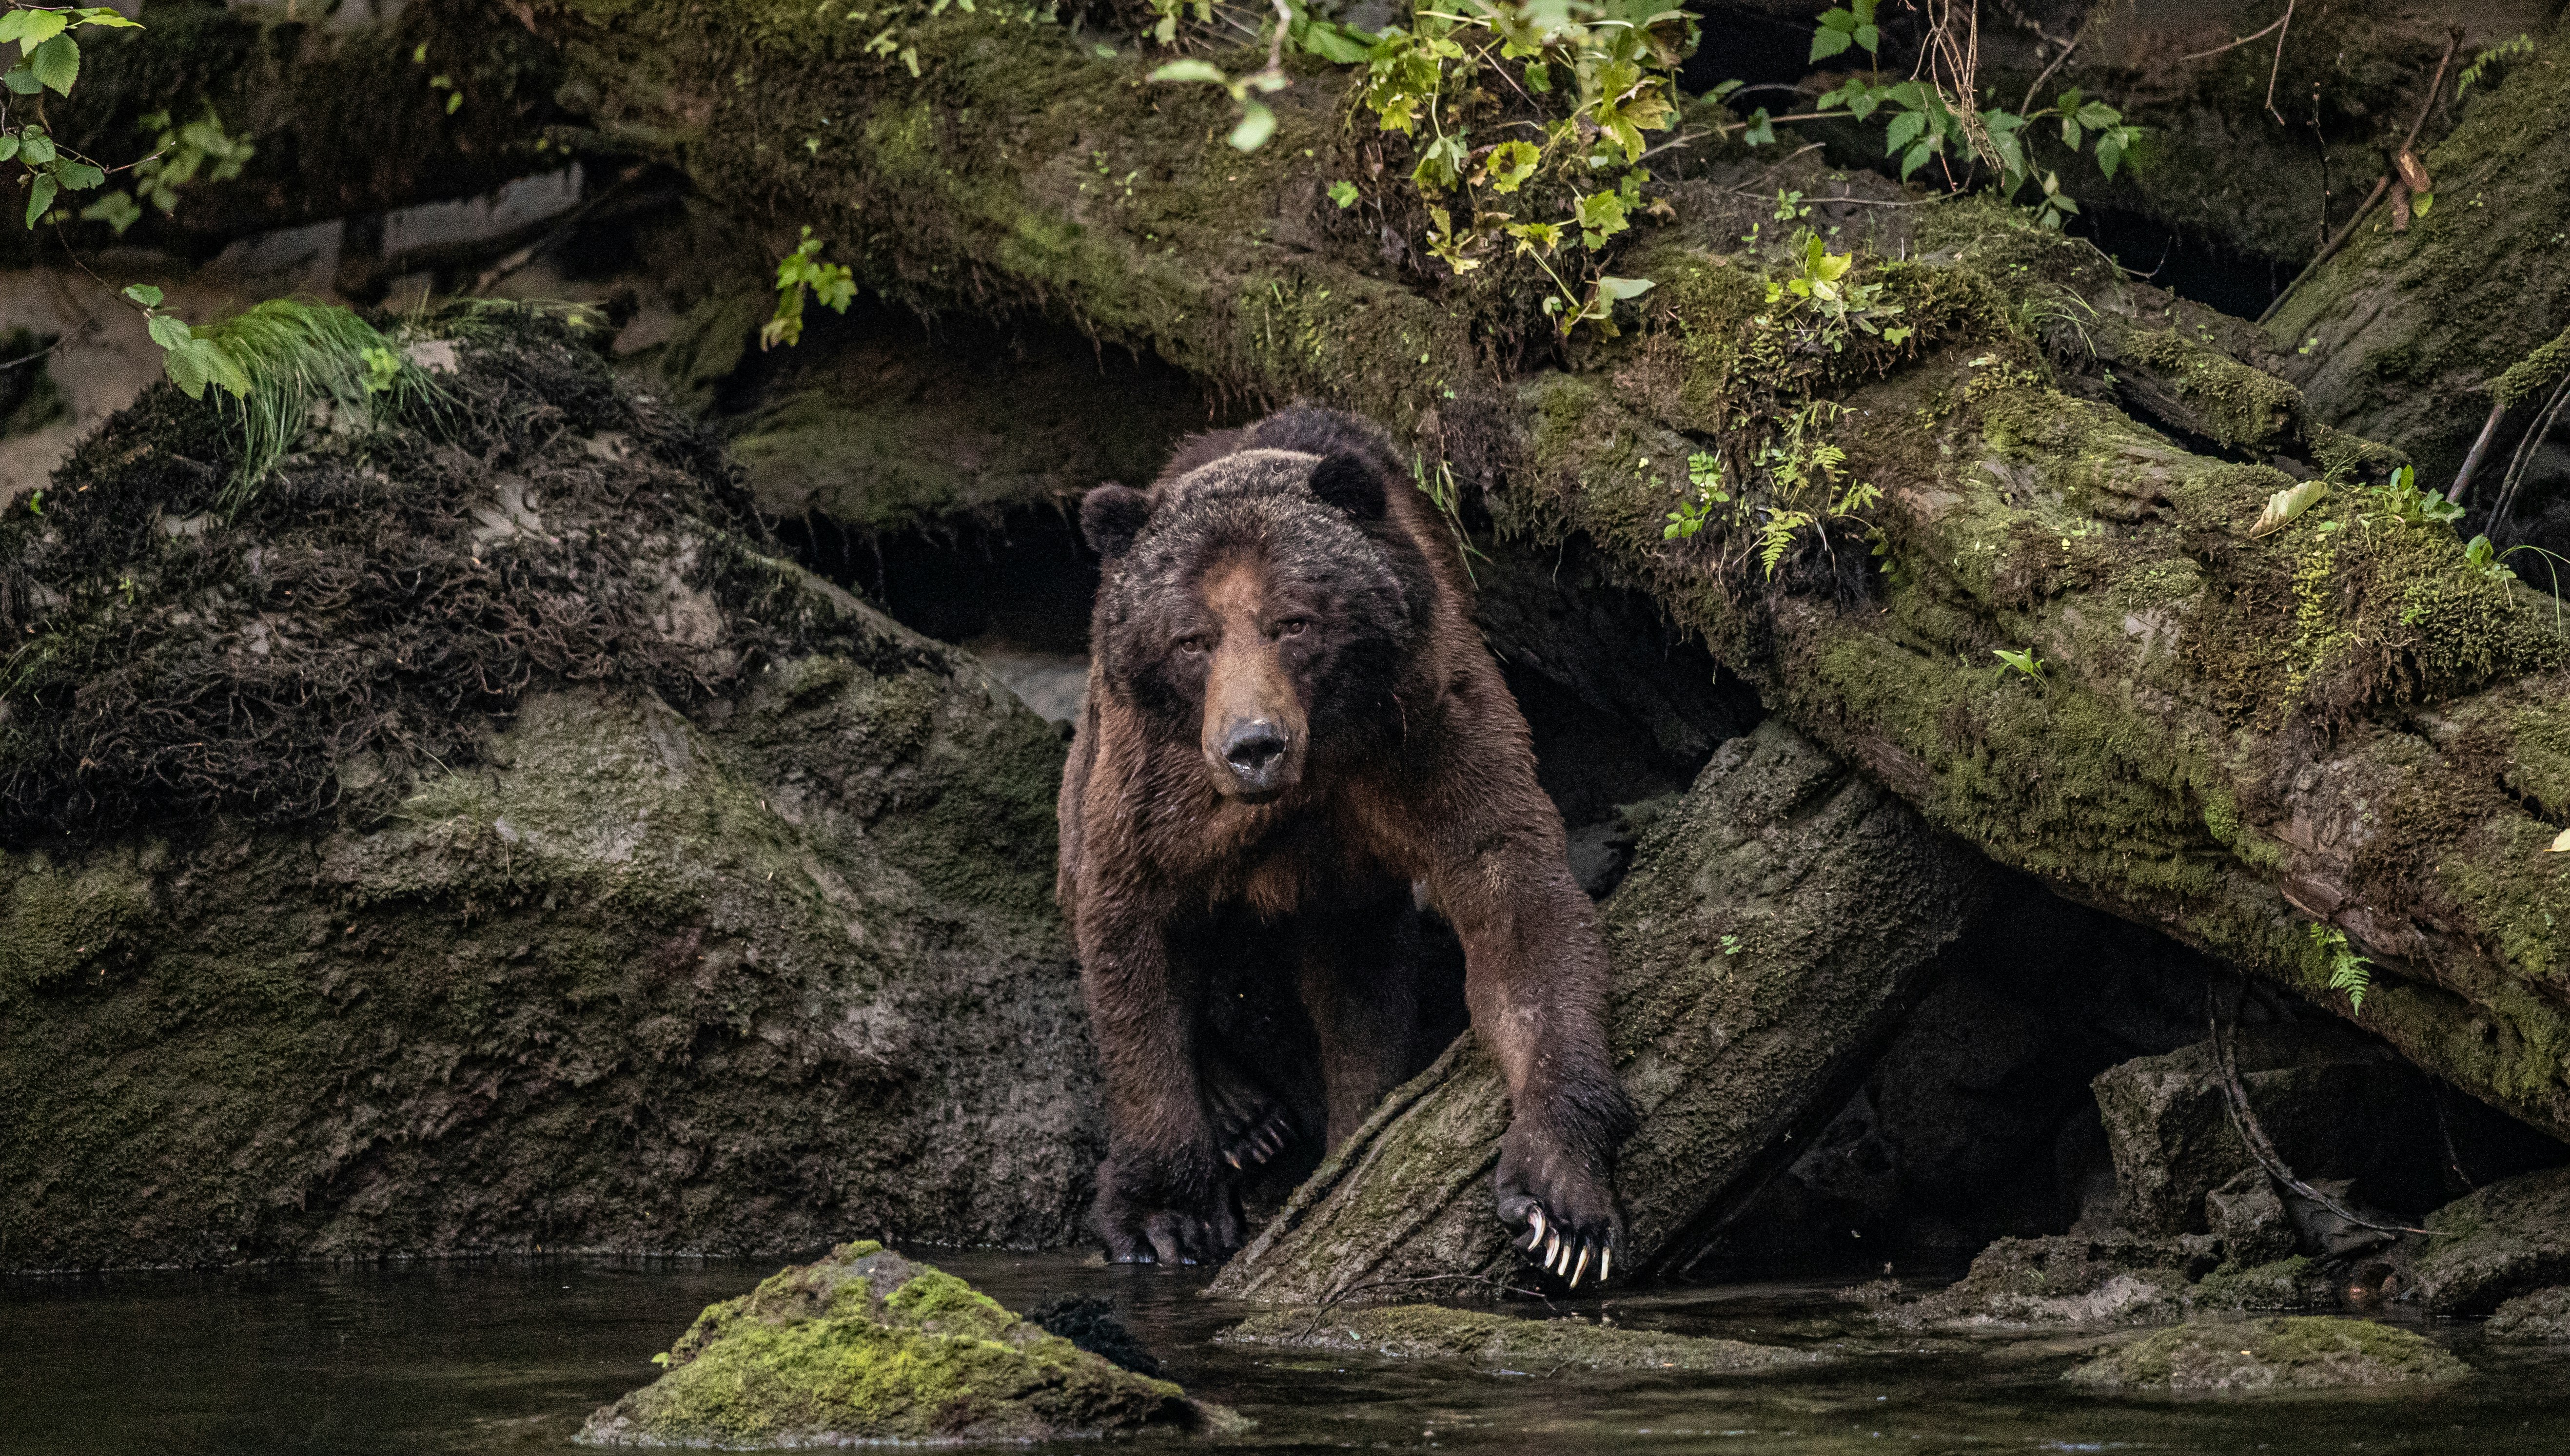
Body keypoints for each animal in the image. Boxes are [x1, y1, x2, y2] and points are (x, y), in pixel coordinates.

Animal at [1059, 406, 1624, 1284]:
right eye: (1192, 638)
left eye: (1293, 621)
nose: (1252, 744)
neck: (1309, 775)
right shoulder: (1154, 783)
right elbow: (1131, 933)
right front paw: (1164, 1216)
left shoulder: (1424, 731)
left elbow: (1517, 905)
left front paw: (1560, 1205)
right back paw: (1244, 1114)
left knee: (1357, 984)